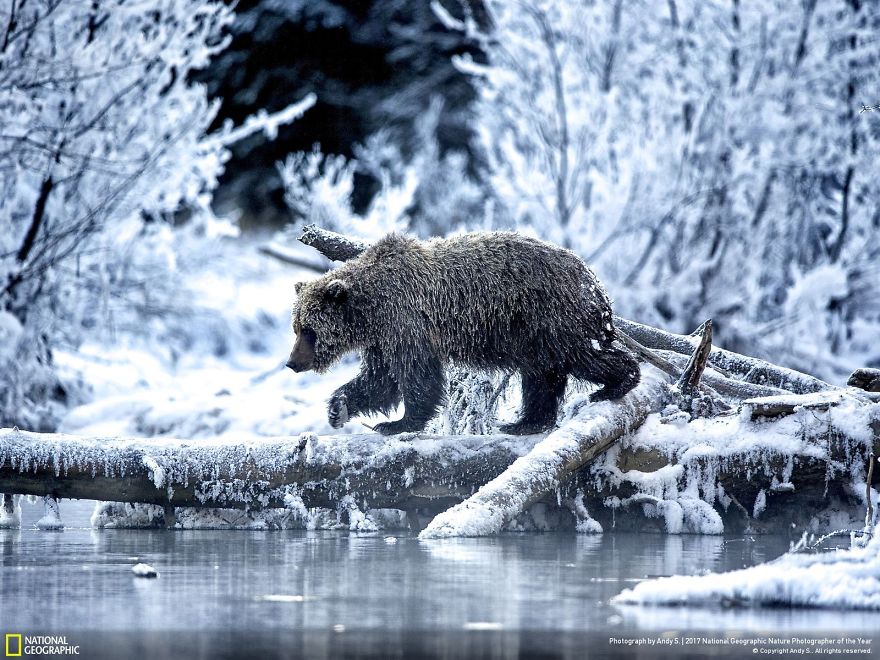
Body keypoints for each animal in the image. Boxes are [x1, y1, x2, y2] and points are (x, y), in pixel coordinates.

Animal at [286, 232, 640, 436]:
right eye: (297, 327)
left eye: (309, 331)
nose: (292, 362)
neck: (371, 309)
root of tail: (594, 281)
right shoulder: (382, 338)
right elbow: (379, 380)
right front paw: (338, 408)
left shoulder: (408, 323)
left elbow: (417, 376)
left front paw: (398, 423)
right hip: (532, 332)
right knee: (542, 374)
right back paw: (524, 423)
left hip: (548, 317)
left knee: (579, 355)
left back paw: (617, 383)